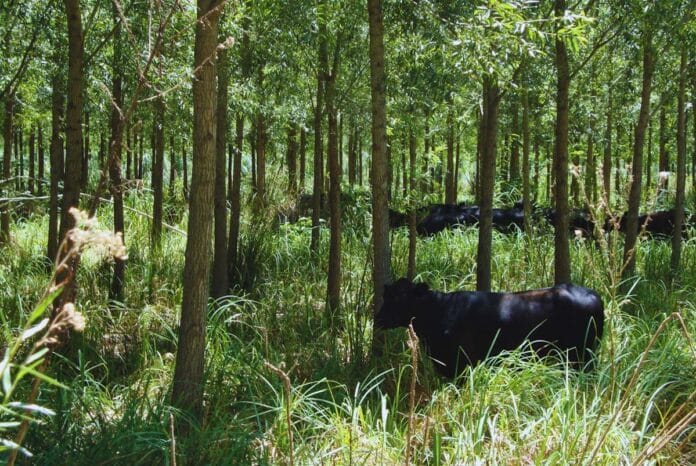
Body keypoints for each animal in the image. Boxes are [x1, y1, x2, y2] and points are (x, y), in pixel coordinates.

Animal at [375, 278, 604, 378]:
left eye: (401, 297)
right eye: (387, 295)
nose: (378, 318)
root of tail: (594, 294)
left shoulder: (461, 364)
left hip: (581, 356)